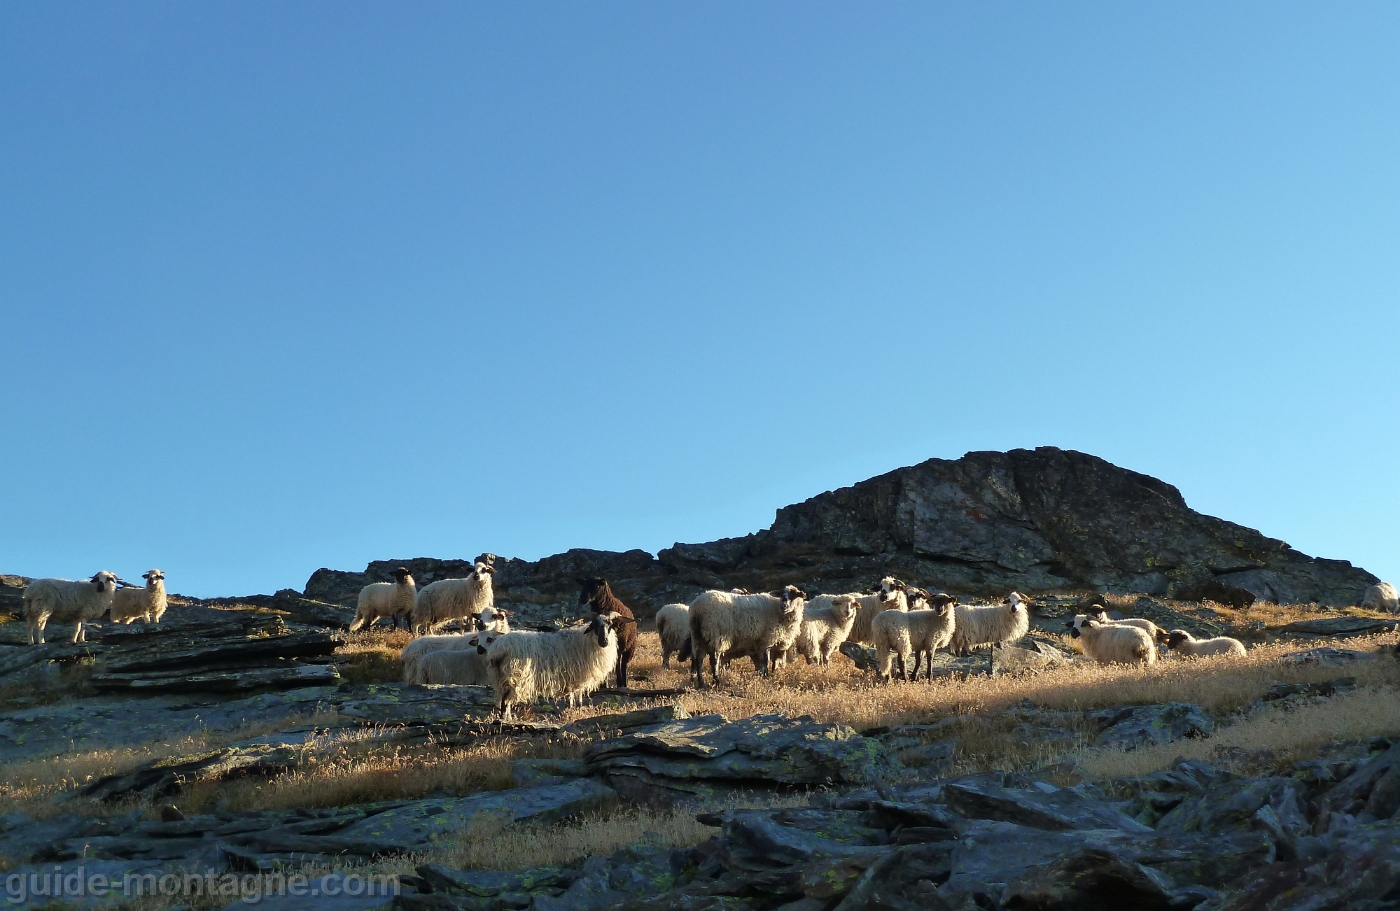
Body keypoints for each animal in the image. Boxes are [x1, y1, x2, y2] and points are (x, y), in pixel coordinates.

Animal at [487, 610, 630, 722]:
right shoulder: (572, 678)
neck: (584, 642)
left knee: (503, 701)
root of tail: (498, 648)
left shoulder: (573, 680)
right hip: (514, 676)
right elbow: (570, 701)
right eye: (594, 625)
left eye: (610, 625)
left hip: (501, 677)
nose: (604, 641)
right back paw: (506, 721)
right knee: (505, 701)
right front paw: (570, 715)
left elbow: (575, 701)